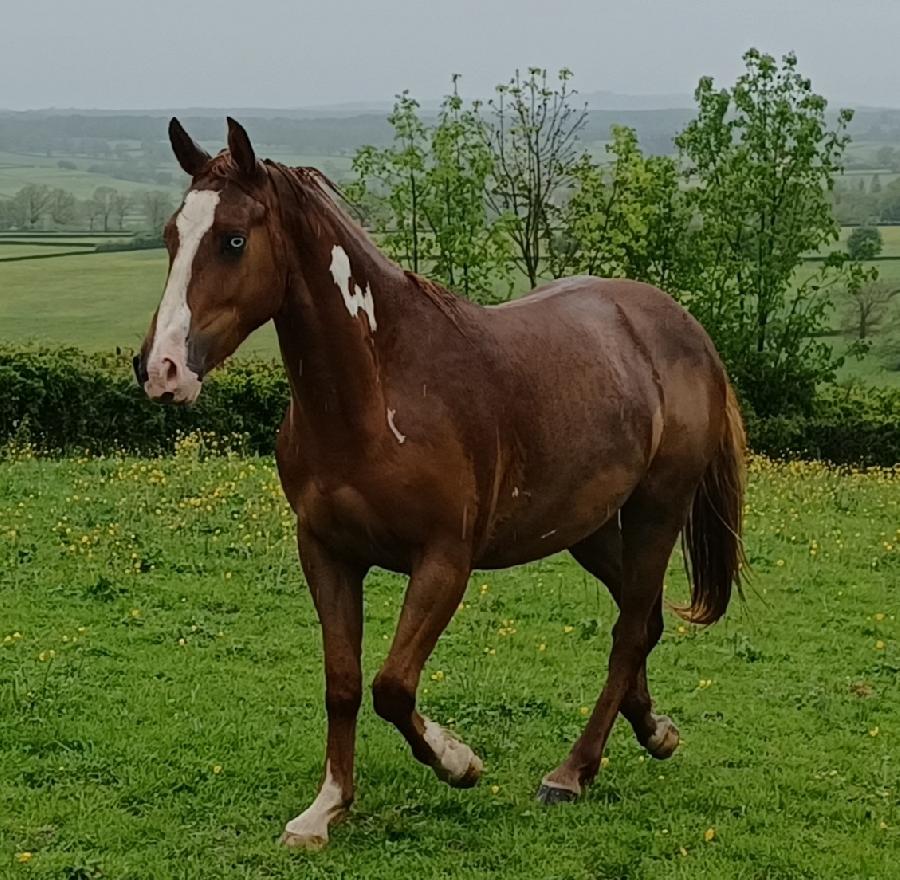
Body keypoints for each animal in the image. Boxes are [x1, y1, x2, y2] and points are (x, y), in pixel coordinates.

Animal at [134, 120, 748, 848]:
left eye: (233, 239)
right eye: (171, 235)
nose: (160, 369)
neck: (380, 392)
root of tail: (683, 328)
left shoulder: (444, 562)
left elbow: (393, 685)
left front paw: (459, 761)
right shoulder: (326, 553)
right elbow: (343, 681)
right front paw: (327, 808)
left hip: (657, 511)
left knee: (629, 631)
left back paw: (571, 773)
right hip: (589, 527)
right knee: (644, 619)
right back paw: (654, 732)